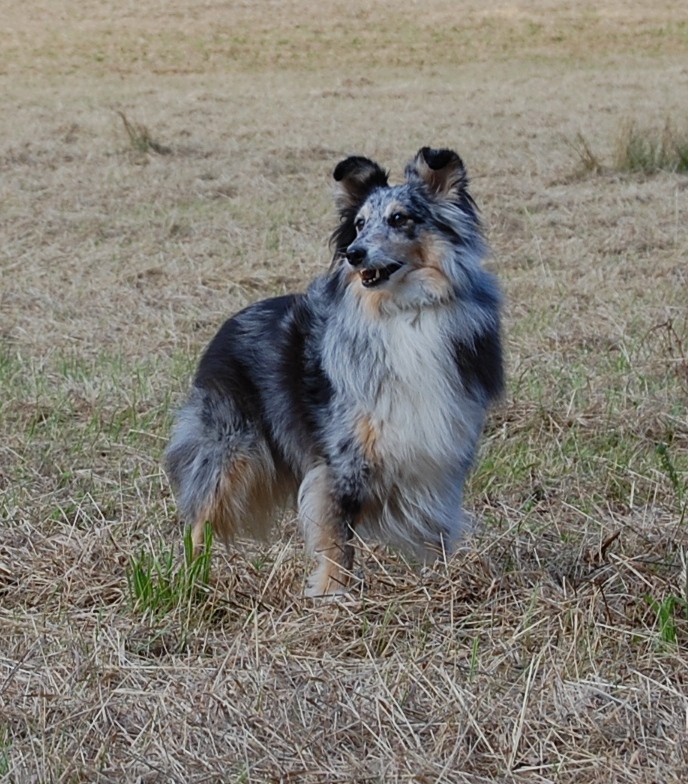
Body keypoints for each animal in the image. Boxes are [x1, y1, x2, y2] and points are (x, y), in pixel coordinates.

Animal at [164, 145, 502, 596]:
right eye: (358, 224)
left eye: (399, 218)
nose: (353, 253)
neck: (405, 312)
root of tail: (227, 325)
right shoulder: (343, 457)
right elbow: (338, 537)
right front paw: (333, 595)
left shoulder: (443, 448)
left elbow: (438, 531)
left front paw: (445, 582)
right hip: (230, 450)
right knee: (200, 515)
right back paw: (191, 577)